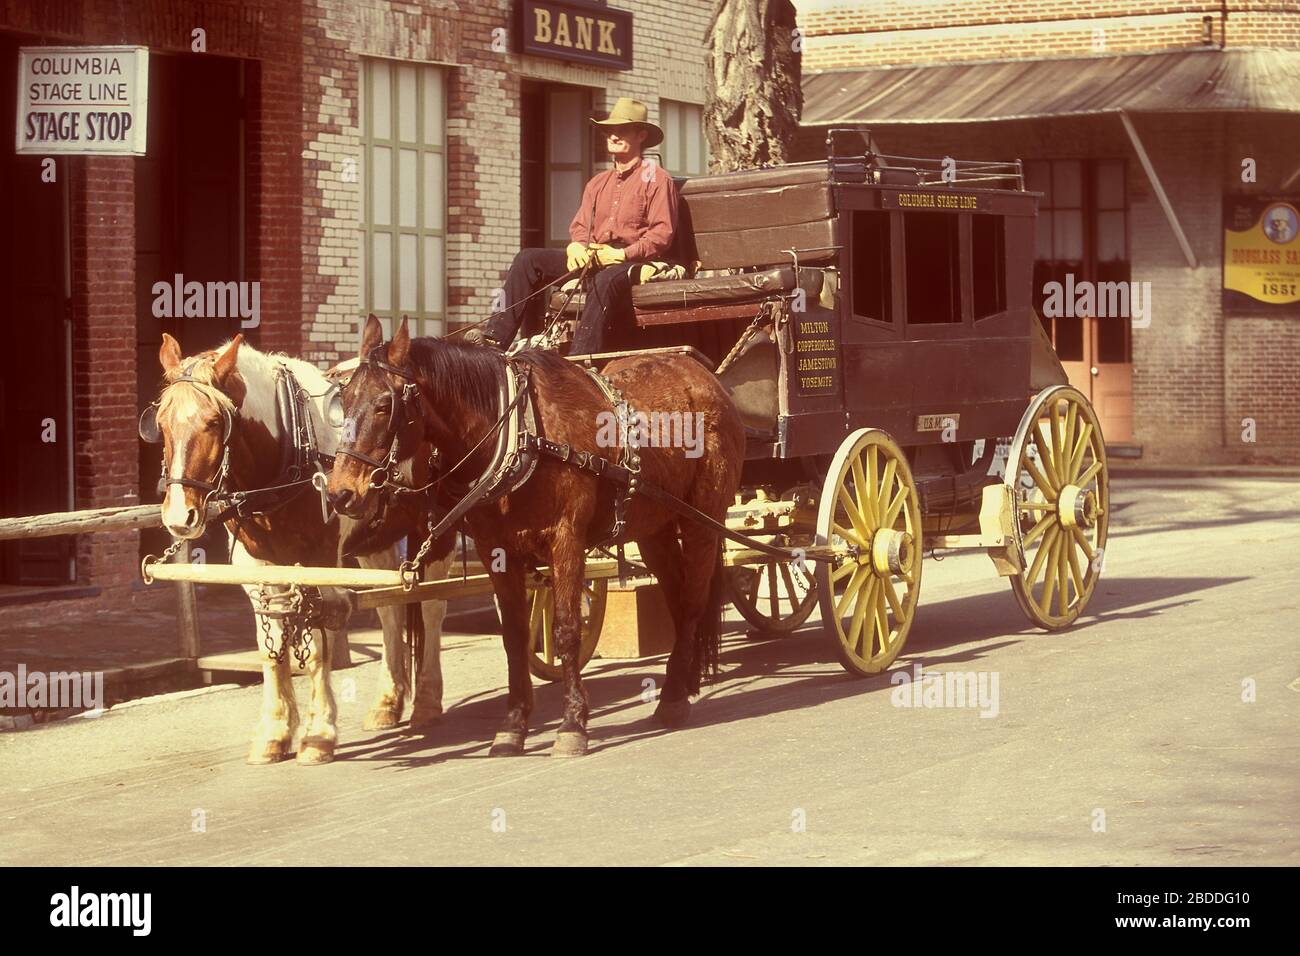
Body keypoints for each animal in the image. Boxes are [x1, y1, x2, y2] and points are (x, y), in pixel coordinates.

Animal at [146, 332, 449, 764]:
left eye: (214, 422)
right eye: (161, 424)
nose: (178, 516)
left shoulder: (318, 562)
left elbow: (320, 645)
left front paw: (318, 735)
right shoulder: (258, 566)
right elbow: (271, 647)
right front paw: (274, 733)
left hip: (436, 531)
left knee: (432, 608)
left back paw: (426, 701)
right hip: (375, 540)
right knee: (390, 612)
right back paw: (387, 704)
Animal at [330, 317, 748, 759]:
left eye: (384, 405)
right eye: (344, 400)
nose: (340, 493)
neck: (520, 435)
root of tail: (704, 377)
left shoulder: (567, 541)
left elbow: (566, 629)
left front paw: (573, 724)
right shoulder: (496, 551)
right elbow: (515, 637)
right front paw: (513, 726)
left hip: (703, 520)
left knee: (692, 600)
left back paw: (672, 699)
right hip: (656, 528)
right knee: (676, 595)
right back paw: (682, 682)